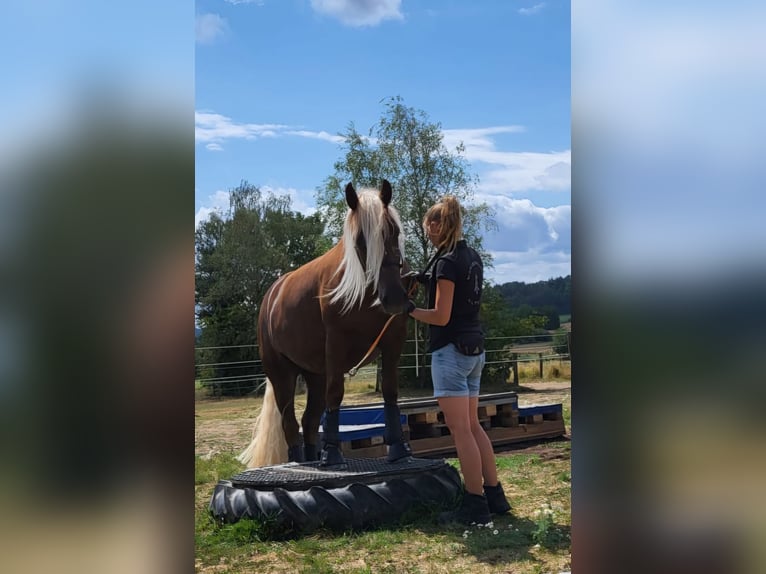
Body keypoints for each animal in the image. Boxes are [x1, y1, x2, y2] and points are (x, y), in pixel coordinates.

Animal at [238, 179, 414, 468]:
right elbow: (336, 395)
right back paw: (299, 463)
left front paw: (399, 449)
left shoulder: (392, 341)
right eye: (360, 240)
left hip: (314, 374)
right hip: (282, 374)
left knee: (309, 422)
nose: (395, 299)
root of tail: (271, 295)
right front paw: (332, 454)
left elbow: (390, 392)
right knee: (290, 424)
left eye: (395, 231)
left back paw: (312, 460)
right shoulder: (336, 346)